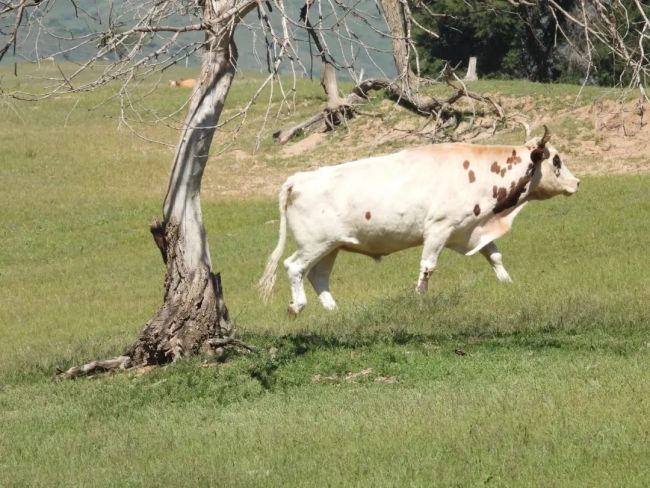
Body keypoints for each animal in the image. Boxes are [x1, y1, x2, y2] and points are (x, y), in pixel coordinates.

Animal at [256, 127, 576, 314]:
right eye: (556, 160)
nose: (578, 182)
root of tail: (298, 179)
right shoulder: (439, 229)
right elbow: (428, 266)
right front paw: (419, 297)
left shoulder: (469, 229)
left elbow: (494, 256)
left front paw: (508, 283)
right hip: (314, 244)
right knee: (294, 267)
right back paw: (297, 306)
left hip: (330, 247)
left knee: (317, 275)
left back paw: (334, 310)